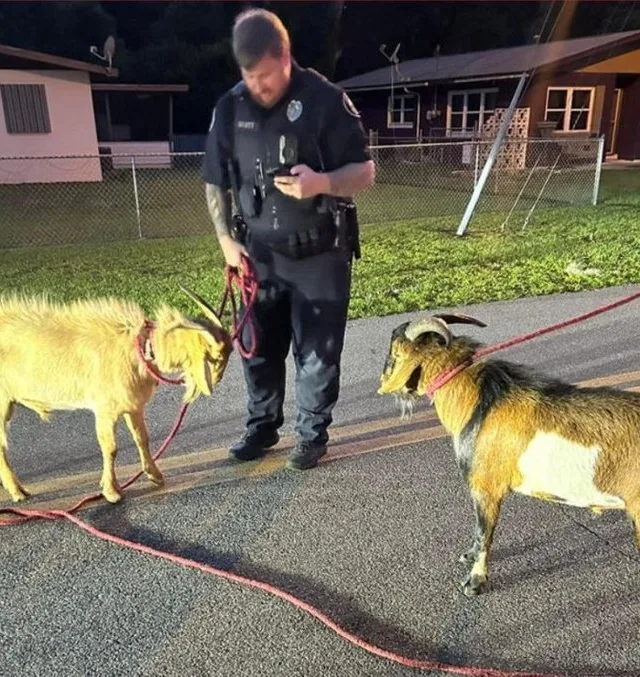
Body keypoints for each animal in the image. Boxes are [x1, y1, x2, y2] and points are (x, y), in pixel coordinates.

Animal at [0, 288, 234, 504]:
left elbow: (142, 438)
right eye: (215, 356)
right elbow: (110, 448)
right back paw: (18, 492)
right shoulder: (105, 409)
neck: (139, 348)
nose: (219, 379)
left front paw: (155, 475)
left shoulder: (133, 406)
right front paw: (111, 491)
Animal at [378, 314, 640, 596]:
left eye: (393, 352)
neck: (479, 400)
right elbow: (478, 529)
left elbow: (485, 532)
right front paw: (469, 556)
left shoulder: (486, 487)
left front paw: (475, 582)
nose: (381, 380)